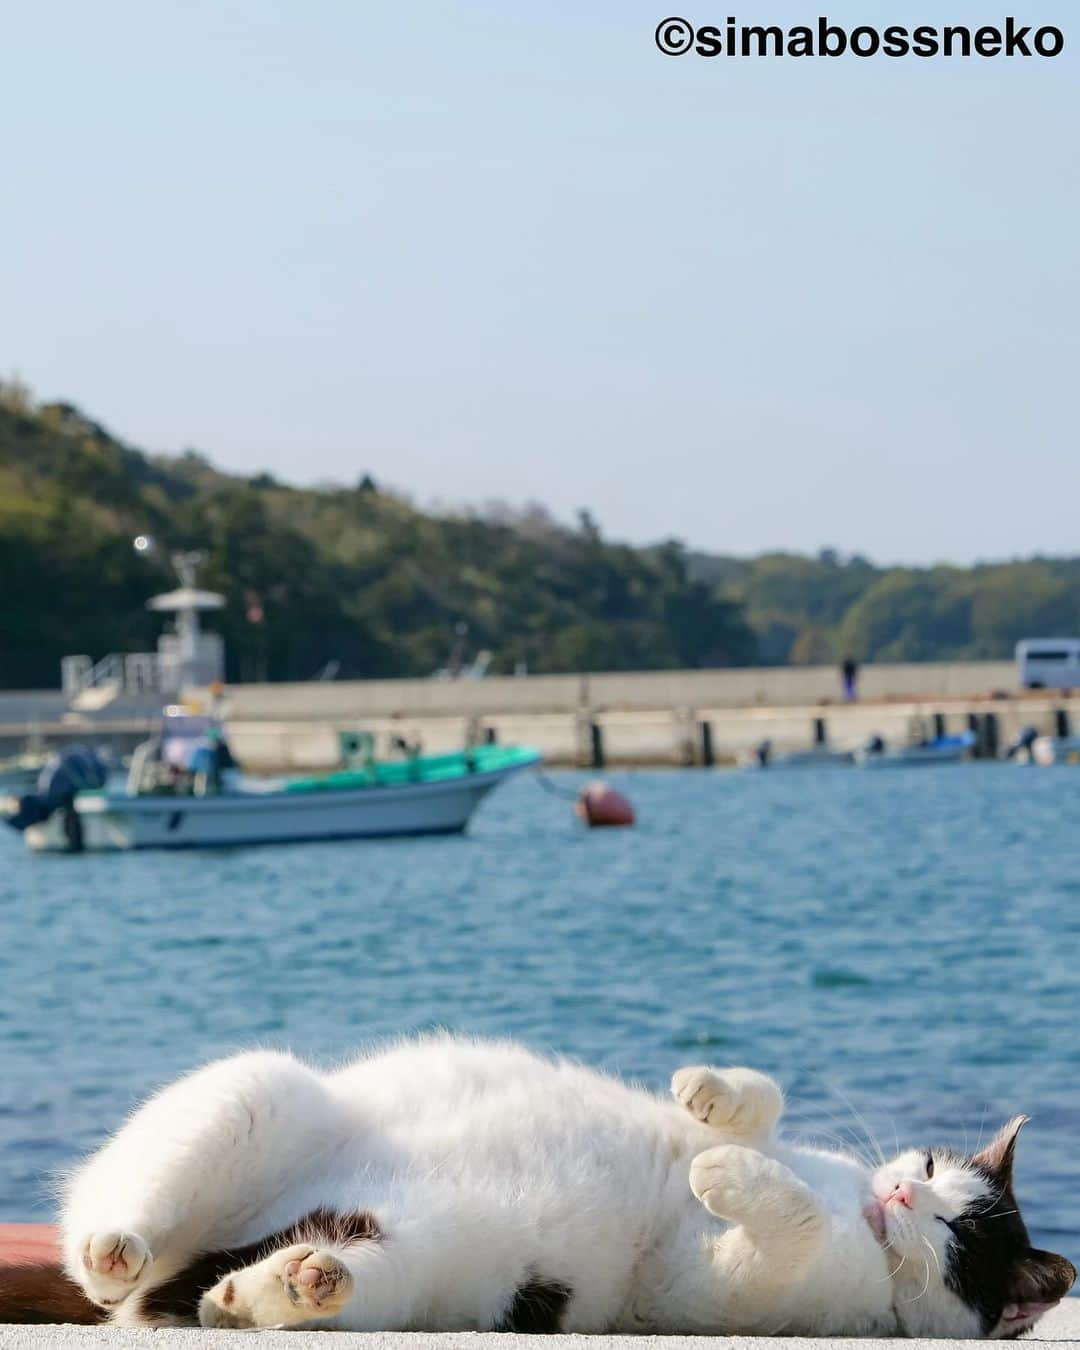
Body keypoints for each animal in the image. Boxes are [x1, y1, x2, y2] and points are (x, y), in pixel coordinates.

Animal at [4, 1031, 1074, 1339]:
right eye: (929, 1170)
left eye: (963, 1242)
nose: (897, 1202)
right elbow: (762, 1104)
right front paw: (710, 1099)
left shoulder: (716, 1293)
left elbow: (792, 1219)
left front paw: (721, 1169)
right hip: (256, 1092)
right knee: (109, 1240)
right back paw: (120, 1248)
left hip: (417, 1272)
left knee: (290, 1285)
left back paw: (280, 1287)